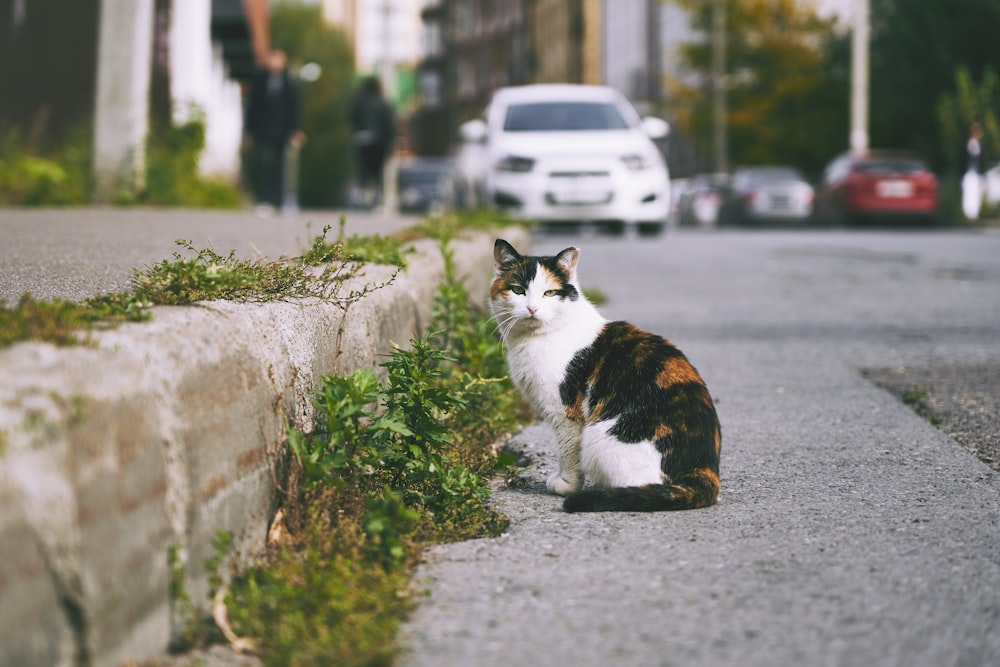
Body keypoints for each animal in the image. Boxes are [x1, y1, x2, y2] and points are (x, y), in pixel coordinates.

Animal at [490, 237, 720, 516]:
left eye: (550, 293)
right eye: (518, 290)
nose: (532, 308)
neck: (536, 339)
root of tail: (703, 468)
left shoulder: (567, 415)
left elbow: (568, 453)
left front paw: (565, 484)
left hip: (599, 437)